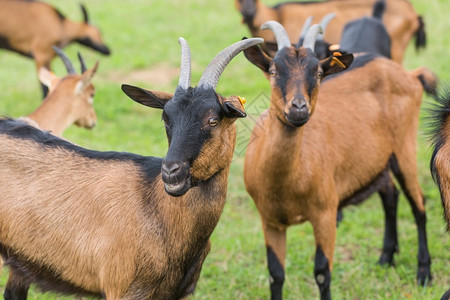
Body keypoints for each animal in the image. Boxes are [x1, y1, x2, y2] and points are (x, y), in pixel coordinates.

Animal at [243, 20, 432, 298]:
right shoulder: (270, 220)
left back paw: (424, 273)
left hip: (404, 148)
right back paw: (386, 258)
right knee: (390, 196)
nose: (298, 108)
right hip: (378, 160)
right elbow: (275, 274)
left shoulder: (325, 212)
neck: (286, 182)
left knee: (418, 205)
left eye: (319, 73)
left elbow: (322, 272)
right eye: (274, 70)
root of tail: (409, 75)